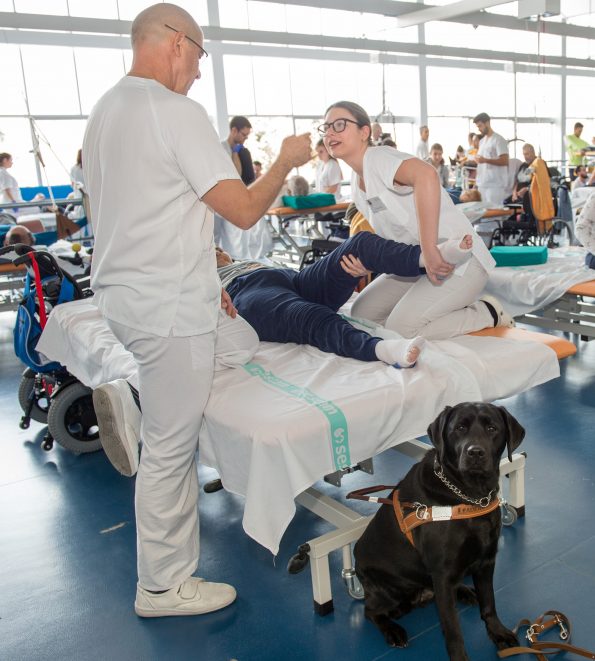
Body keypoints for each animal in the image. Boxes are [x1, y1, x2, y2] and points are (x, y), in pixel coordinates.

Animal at [354, 402, 528, 660]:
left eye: (492, 428)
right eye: (460, 428)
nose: (475, 453)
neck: (469, 496)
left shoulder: (486, 560)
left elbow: (489, 603)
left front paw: (498, 633)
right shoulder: (443, 572)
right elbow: (452, 629)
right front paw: (460, 656)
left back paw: (465, 591)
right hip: (388, 591)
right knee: (371, 612)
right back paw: (394, 631)